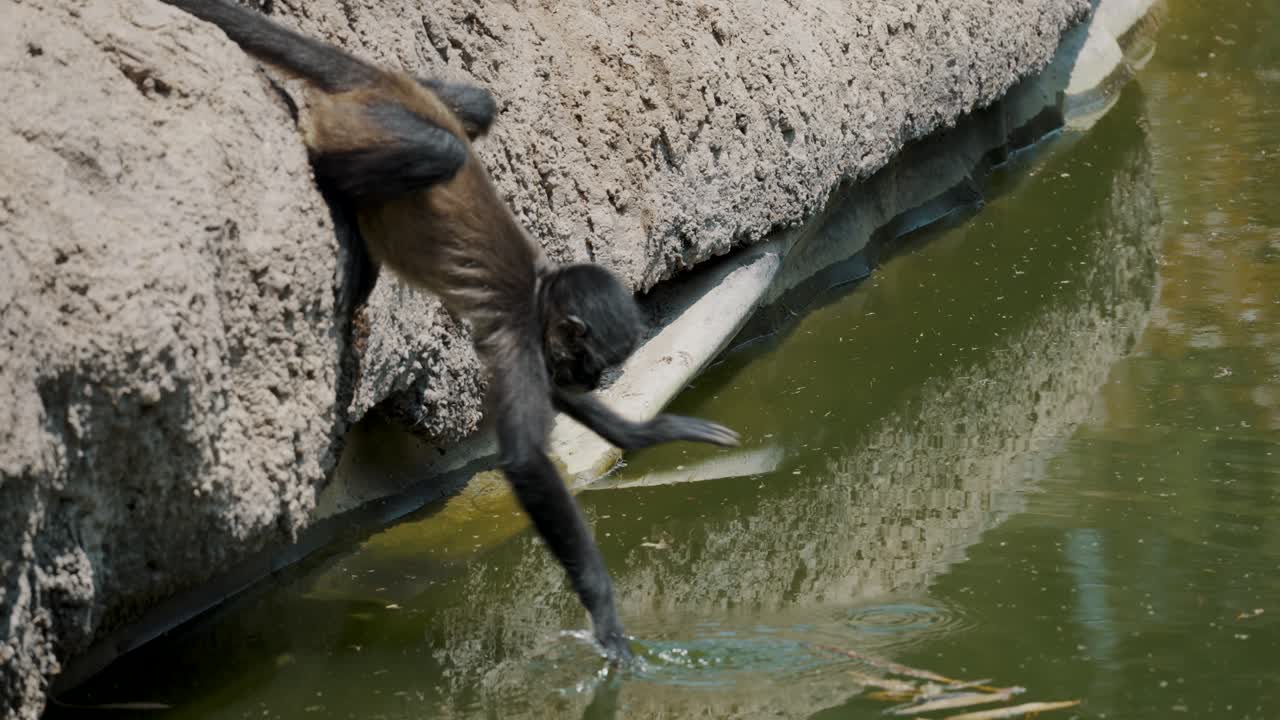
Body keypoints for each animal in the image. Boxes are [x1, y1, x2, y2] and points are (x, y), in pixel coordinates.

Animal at [157, 0, 739, 663]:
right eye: (594, 363)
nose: (597, 380)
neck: (539, 289)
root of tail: (382, 87)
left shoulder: (536, 346)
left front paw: (649, 432)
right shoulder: (519, 336)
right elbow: (524, 460)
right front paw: (605, 614)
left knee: (475, 106)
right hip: (371, 124)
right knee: (439, 152)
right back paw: (332, 180)